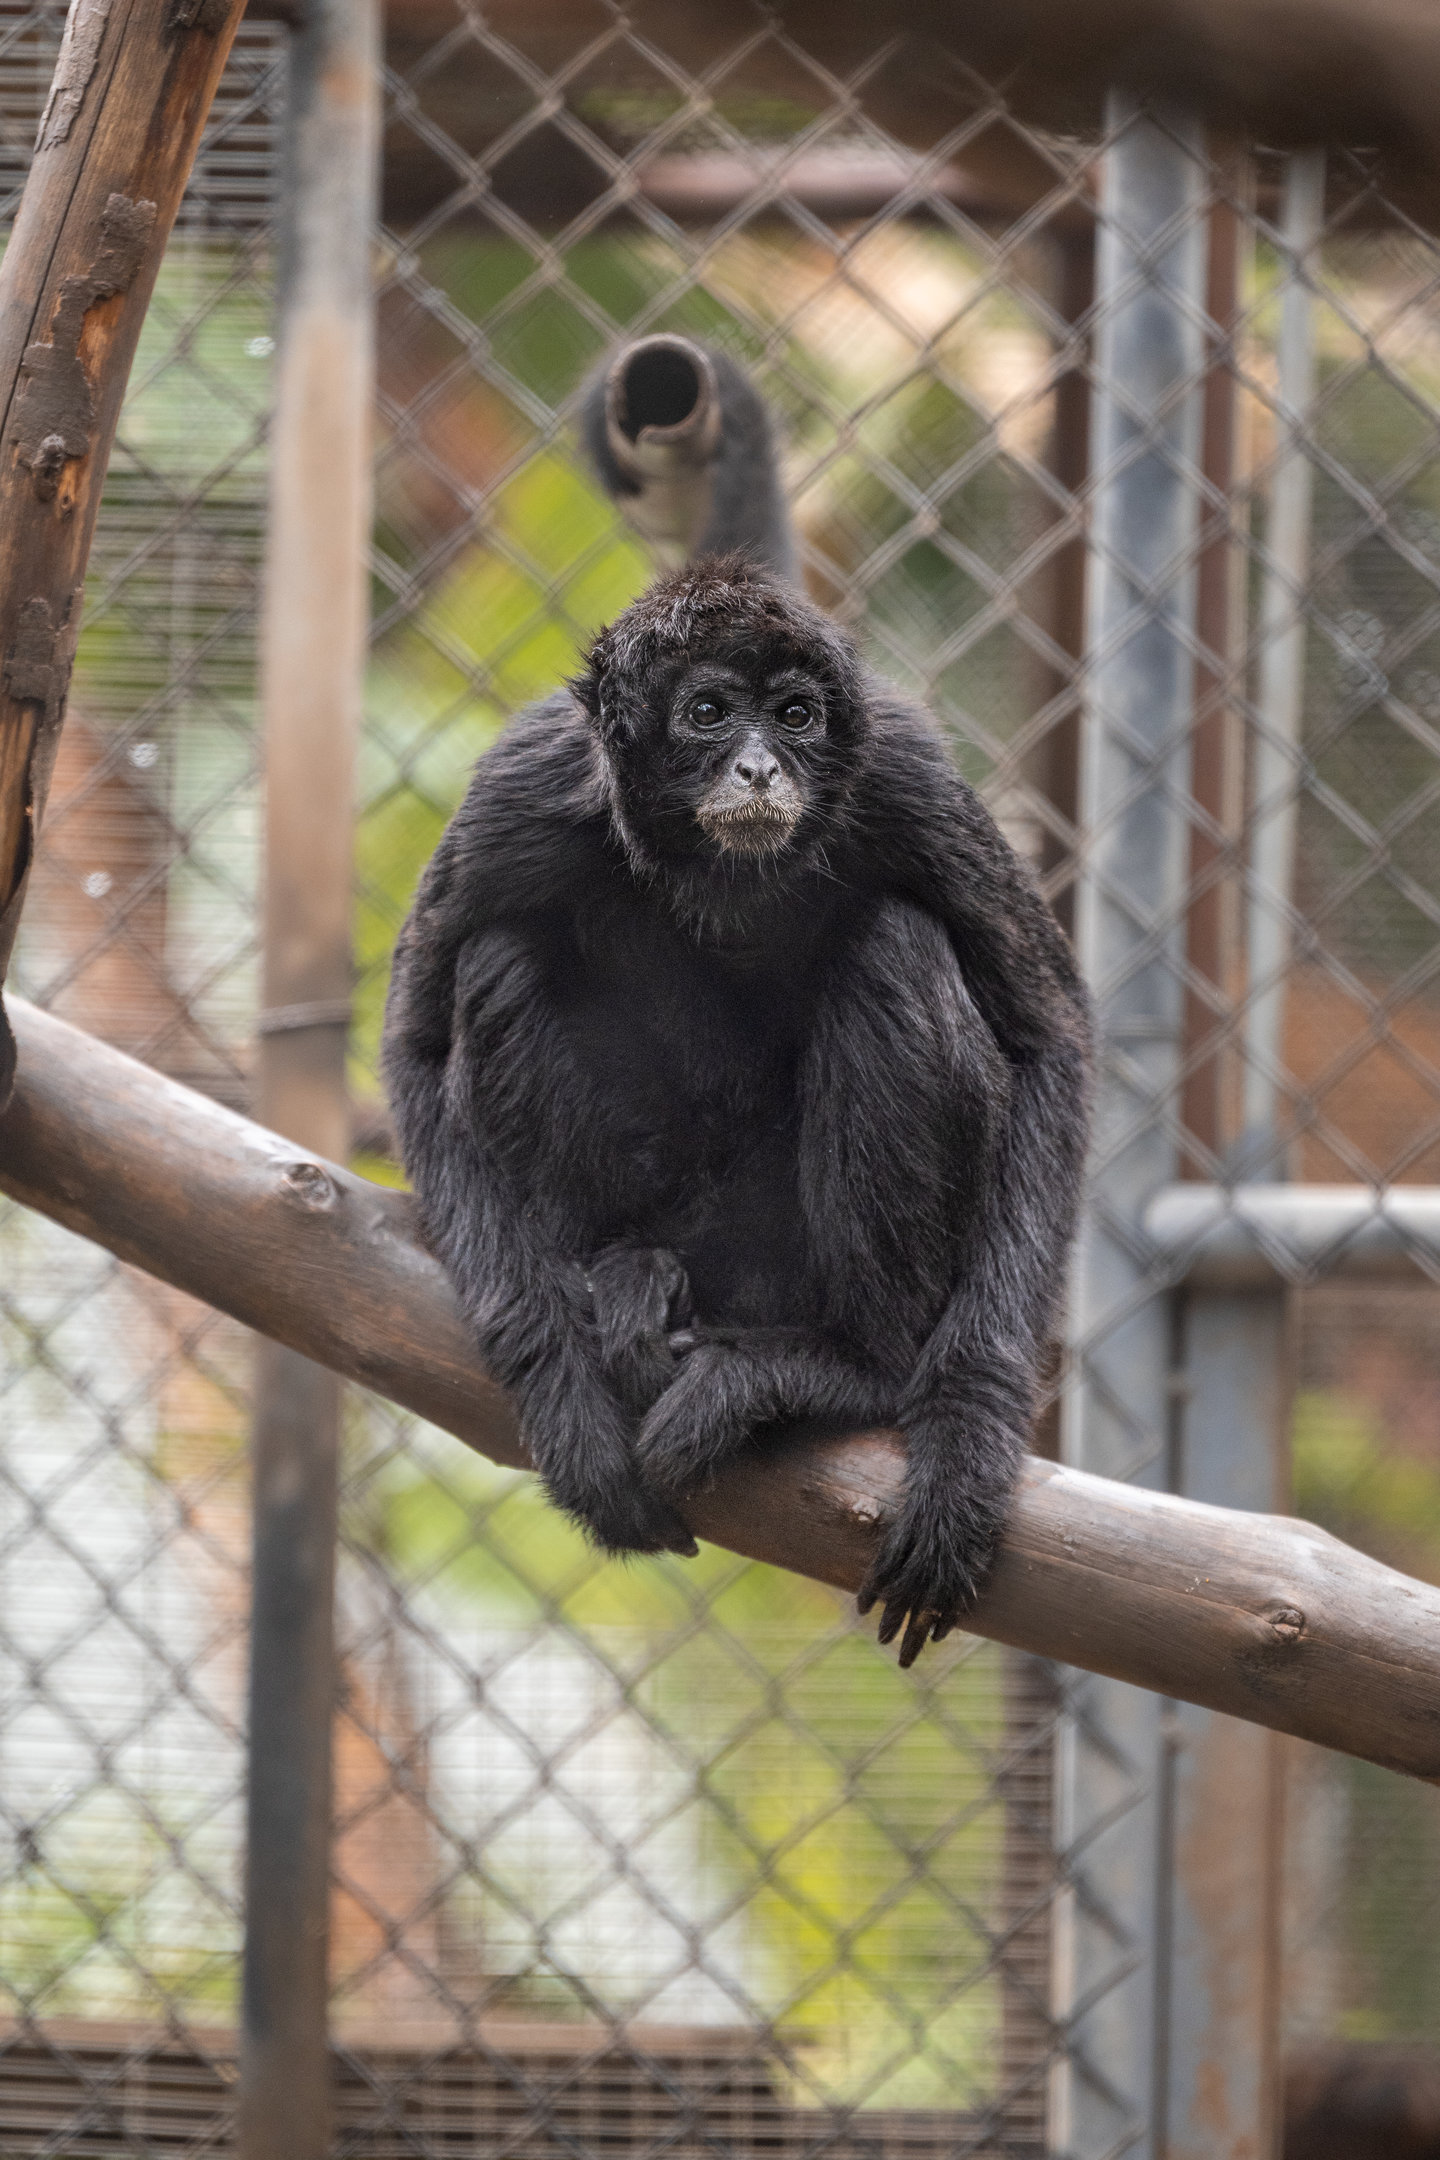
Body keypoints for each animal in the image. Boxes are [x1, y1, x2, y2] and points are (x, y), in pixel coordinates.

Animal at [382, 348, 1091, 1667]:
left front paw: (967, 1443)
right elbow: (411, 1041)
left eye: (796, 716)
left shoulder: (902, 772)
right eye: (711, 713)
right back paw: (620, 1282)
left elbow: (1049, 1044)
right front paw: (560, 1392)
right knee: (499, 956)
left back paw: (844, 1372)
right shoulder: (525, 786)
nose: (761, 766)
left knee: (897, 947)